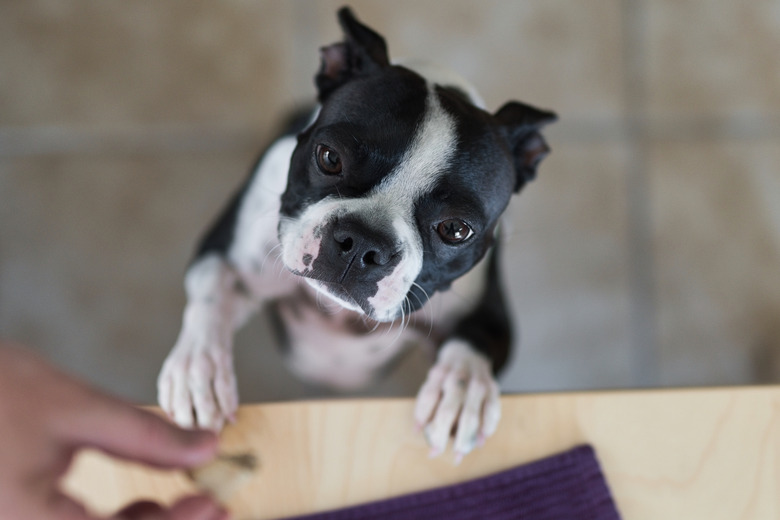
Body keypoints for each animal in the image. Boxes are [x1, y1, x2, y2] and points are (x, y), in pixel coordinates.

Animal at [158, 8, 556, 462]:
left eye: (456, 230)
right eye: (329, 158)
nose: (363, 244)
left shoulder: (490, 313)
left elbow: (476, 340)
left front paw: (462, 393)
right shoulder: (225, 255)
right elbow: (212, 290)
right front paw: (198, 371)